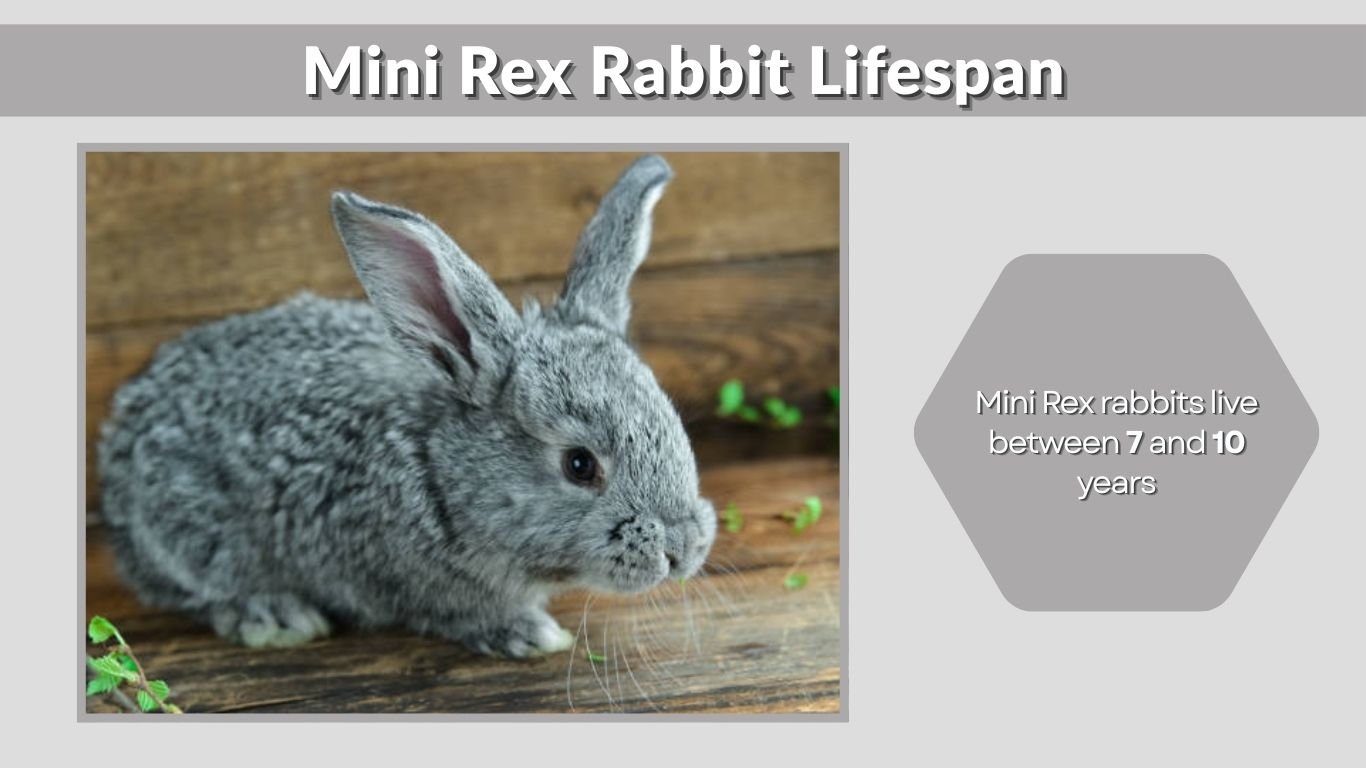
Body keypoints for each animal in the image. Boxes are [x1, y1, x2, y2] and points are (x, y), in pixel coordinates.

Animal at [96, 154, 717, 658]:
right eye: (580, 464)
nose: (683, 548)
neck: (440, 476)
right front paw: (528, 634)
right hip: (187, 534)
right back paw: (274, 617)